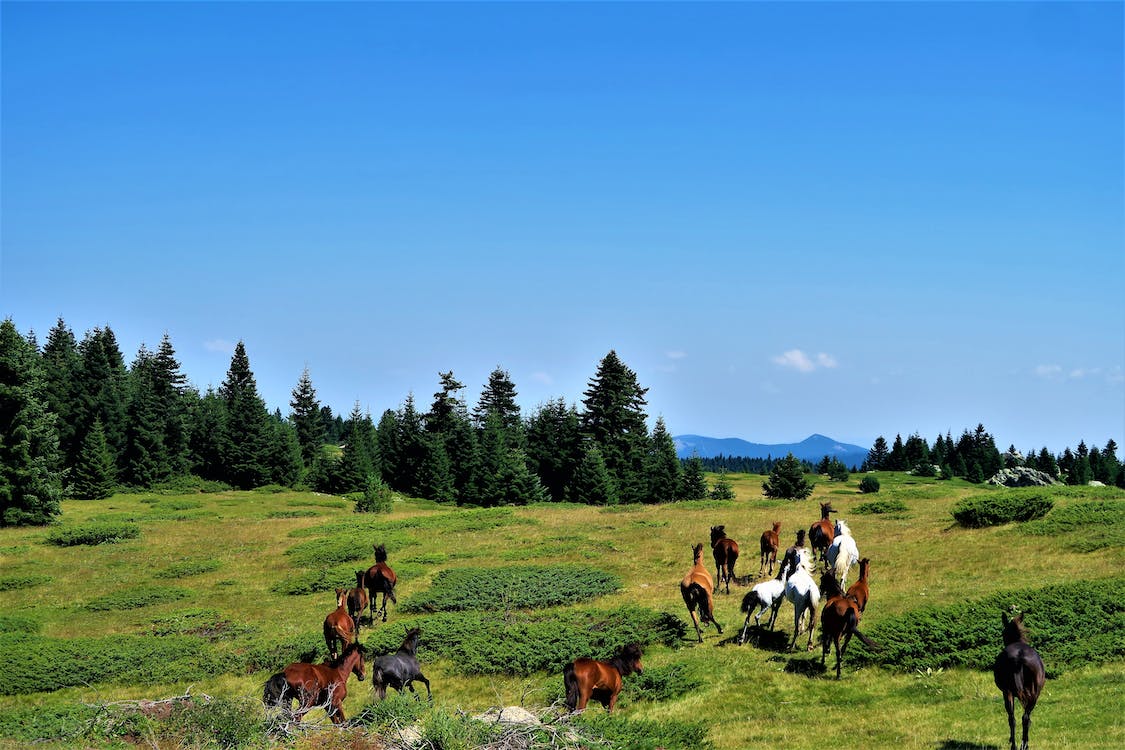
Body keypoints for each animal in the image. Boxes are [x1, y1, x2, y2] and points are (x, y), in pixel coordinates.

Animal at [993, 611, 1046, 750]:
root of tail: (1019, 657)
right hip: (1034, 694)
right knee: (1025, 718)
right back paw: (1024, 745)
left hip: (1008, 692)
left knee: (1012, 718)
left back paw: (1014, 745)